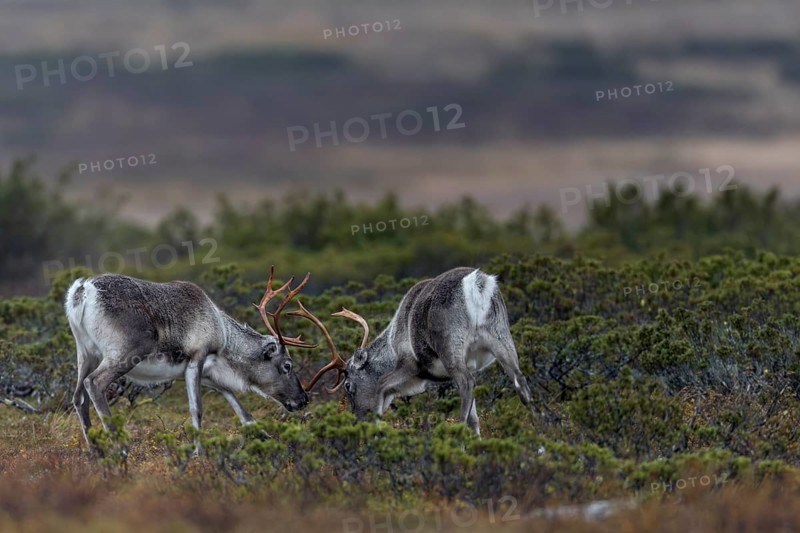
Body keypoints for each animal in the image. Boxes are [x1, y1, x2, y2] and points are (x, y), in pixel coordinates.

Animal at [64, 267, 327, 448]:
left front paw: (264, 437)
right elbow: (196, 409)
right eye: (287, 365)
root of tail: (83, 290)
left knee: (78, 397)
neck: (224, 337)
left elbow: (242, 411)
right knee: (94, 383)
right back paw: (120, 448)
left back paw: (96, 452)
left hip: (85, 352)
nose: (303, 399)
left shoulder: (211, 375)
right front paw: (200, 453)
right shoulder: (197, 359)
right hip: (125, 353)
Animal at [295, 267, 536, 436]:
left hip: (450, 347)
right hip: (501, 335)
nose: (358, 419)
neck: (392, 344)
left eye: (348, 385)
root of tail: (477, 285)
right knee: (520, 382)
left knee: (467, 384)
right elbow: (476, 418)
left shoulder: (410, 366)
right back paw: (538, 428)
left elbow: (381, 386)